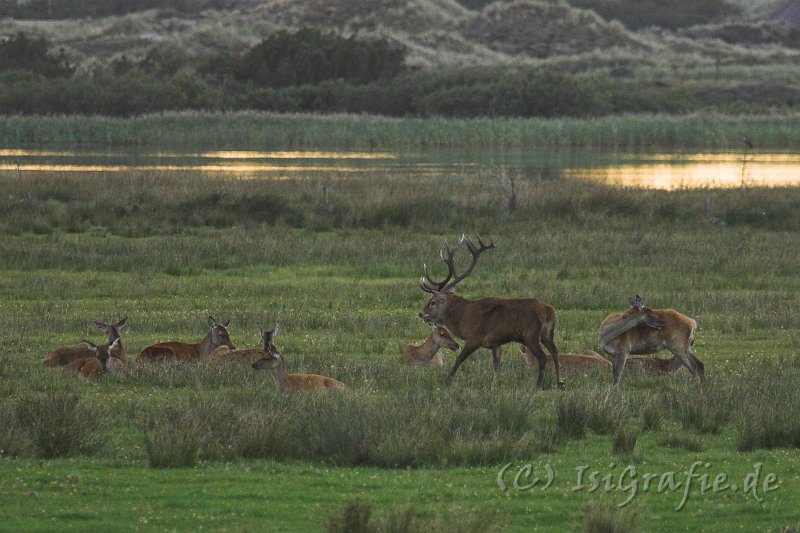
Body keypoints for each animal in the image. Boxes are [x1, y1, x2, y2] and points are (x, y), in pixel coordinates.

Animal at [418, 235, 564, 388]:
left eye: (433, 302)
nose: (421, 313)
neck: (462, 318)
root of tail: (549, 310)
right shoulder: (495, 343)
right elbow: (496, 365)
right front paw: (495, 385)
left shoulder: (475, 337)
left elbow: (459, 359)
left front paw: (447, 381)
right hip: (547, 333)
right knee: (555, 351)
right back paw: (560, 382)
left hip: (531, 334)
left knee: (543, 357)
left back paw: (538, 385)